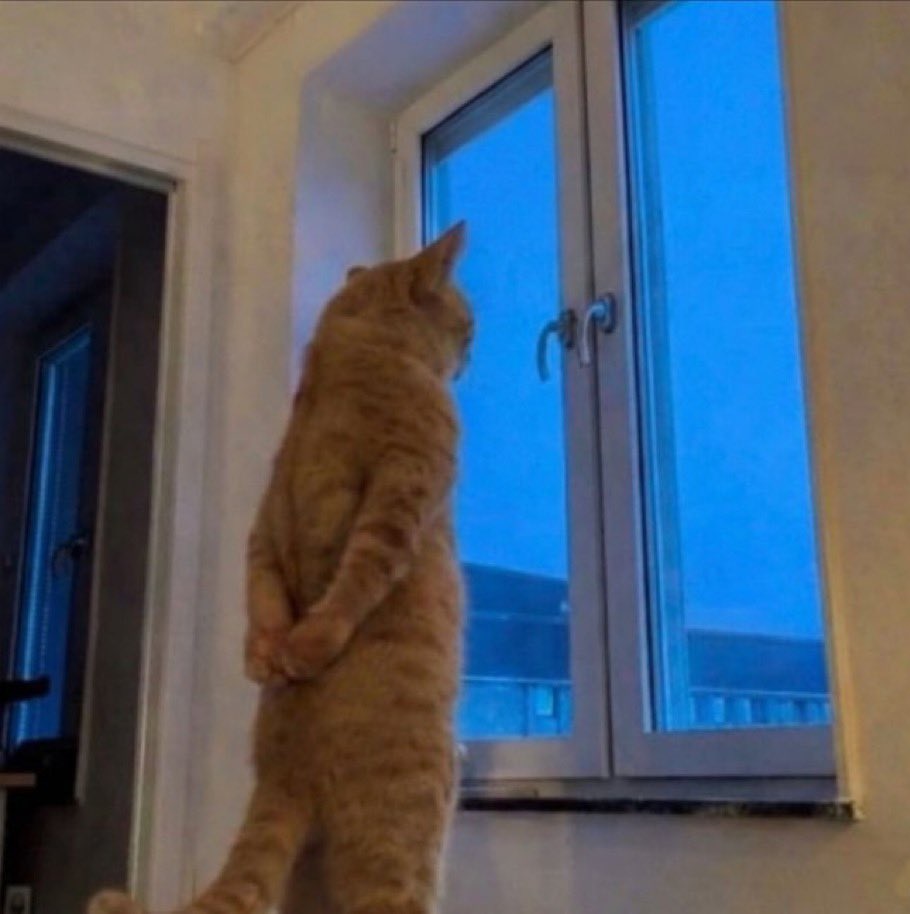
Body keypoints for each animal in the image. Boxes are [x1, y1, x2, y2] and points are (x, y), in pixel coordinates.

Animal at [89, 222, 472, 914]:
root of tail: (284, 773)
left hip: (309, 880)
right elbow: (363, 571)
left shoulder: (264, 519)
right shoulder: (407, 481)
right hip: (409, 849)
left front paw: (269, 654)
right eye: (469, 327)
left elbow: (263, 590)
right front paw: (312, 644)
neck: (346, 350)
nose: (473, 354)